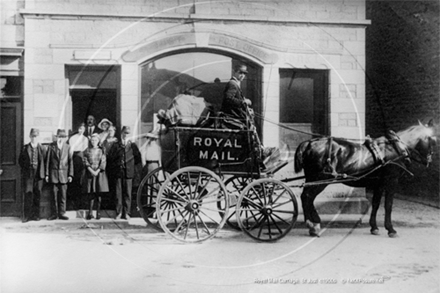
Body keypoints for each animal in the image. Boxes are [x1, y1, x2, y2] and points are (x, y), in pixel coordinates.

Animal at [294, 120, 434, 236]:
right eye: (433, 139)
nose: (429, 160)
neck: (395, 148)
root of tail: (309, 143)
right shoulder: (391, 181)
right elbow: (388, 205)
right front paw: (391, 229)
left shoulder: (379, 184)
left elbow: (376, 204)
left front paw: (374, 227)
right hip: (320, 179)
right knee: (307, 197)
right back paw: (313, 224)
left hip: (312, 179)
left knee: (306, 197)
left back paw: (313, 224)